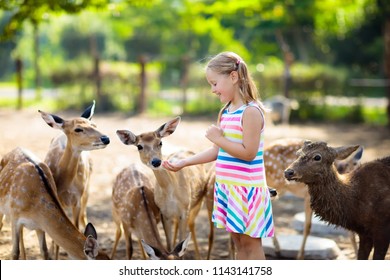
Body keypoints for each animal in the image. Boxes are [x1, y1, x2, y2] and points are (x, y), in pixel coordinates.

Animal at [116, 116, 207, 260]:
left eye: (160, 142)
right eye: (139, 146)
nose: (156, 161)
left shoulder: (184, 210)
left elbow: (181, 245)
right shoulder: (164, 213)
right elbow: (169, 245)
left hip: (197, 203)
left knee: (192, 225)